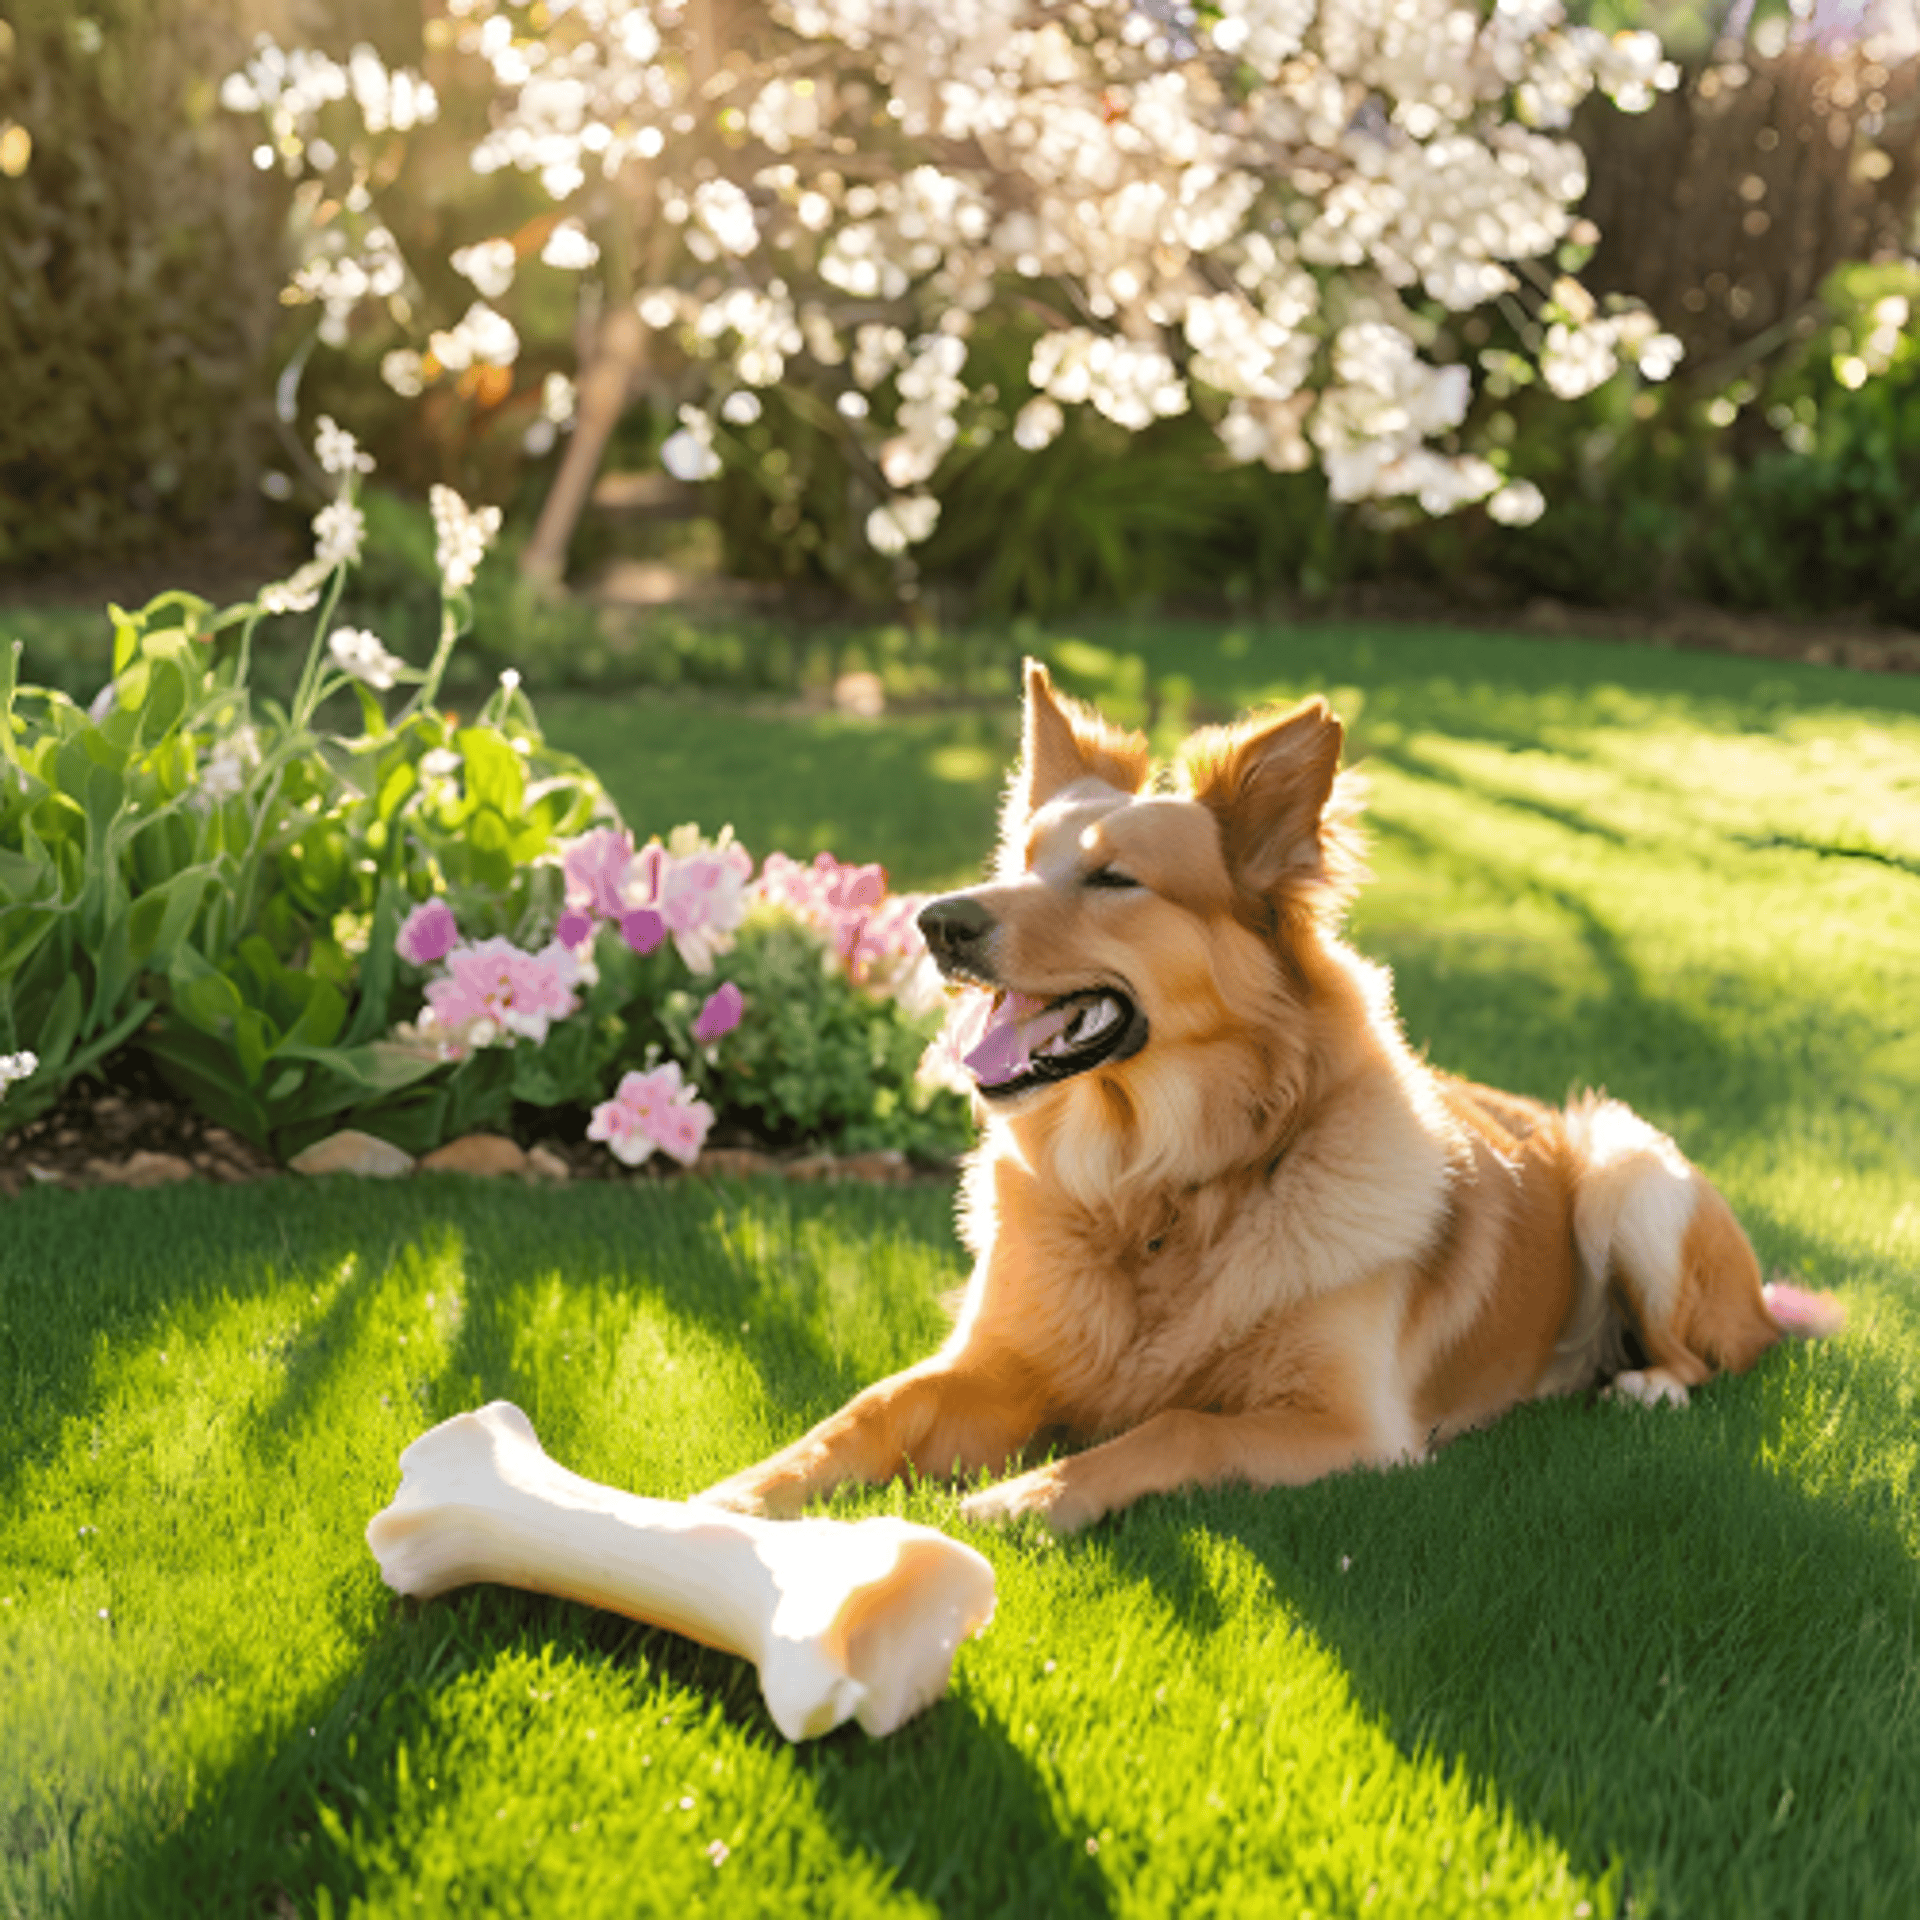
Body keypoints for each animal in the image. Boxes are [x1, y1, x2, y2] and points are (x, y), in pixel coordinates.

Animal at [698, 668, 1835, 1536]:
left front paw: (1027, 1497)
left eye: (1113, 880)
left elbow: (1175, 1425)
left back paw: (1641, 1383)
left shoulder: (1353, 1434)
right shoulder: (996, 1367)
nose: (940, 922)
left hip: (1627, 1168)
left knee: (1714, 1353)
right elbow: (866, 1411)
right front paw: (737, 1496)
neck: (1158, 1187)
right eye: (1016, 863)